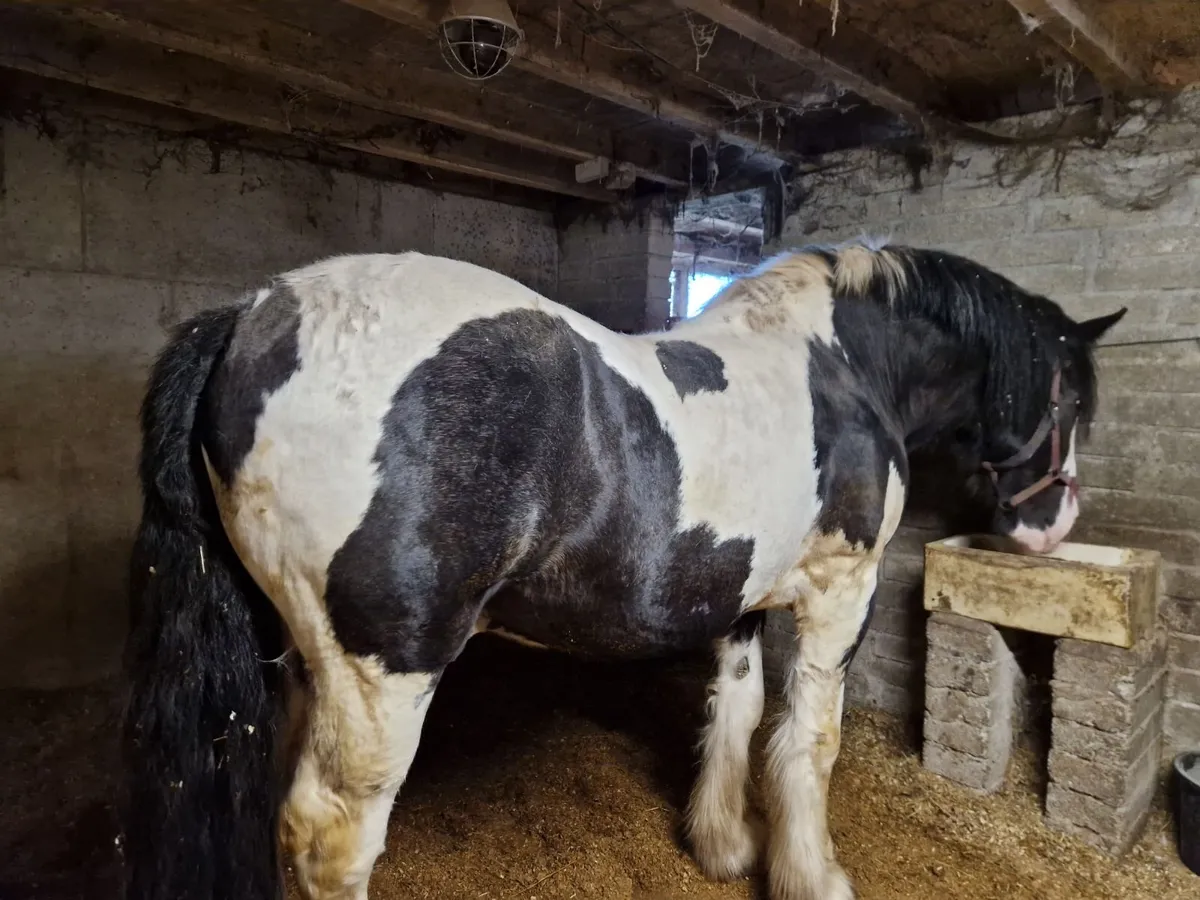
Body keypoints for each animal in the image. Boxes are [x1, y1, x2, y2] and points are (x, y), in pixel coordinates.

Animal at [119, 240, 1125, 900]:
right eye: (1071, 397)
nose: (1052, 525)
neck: (841, 365)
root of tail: (253, 314)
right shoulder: (842, 592)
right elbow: (809, 742)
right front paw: (812, 875)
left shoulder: (737, 596)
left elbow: (737, 713)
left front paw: (723, 846)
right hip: (383, 673)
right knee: (332, 841)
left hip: (302, 658)